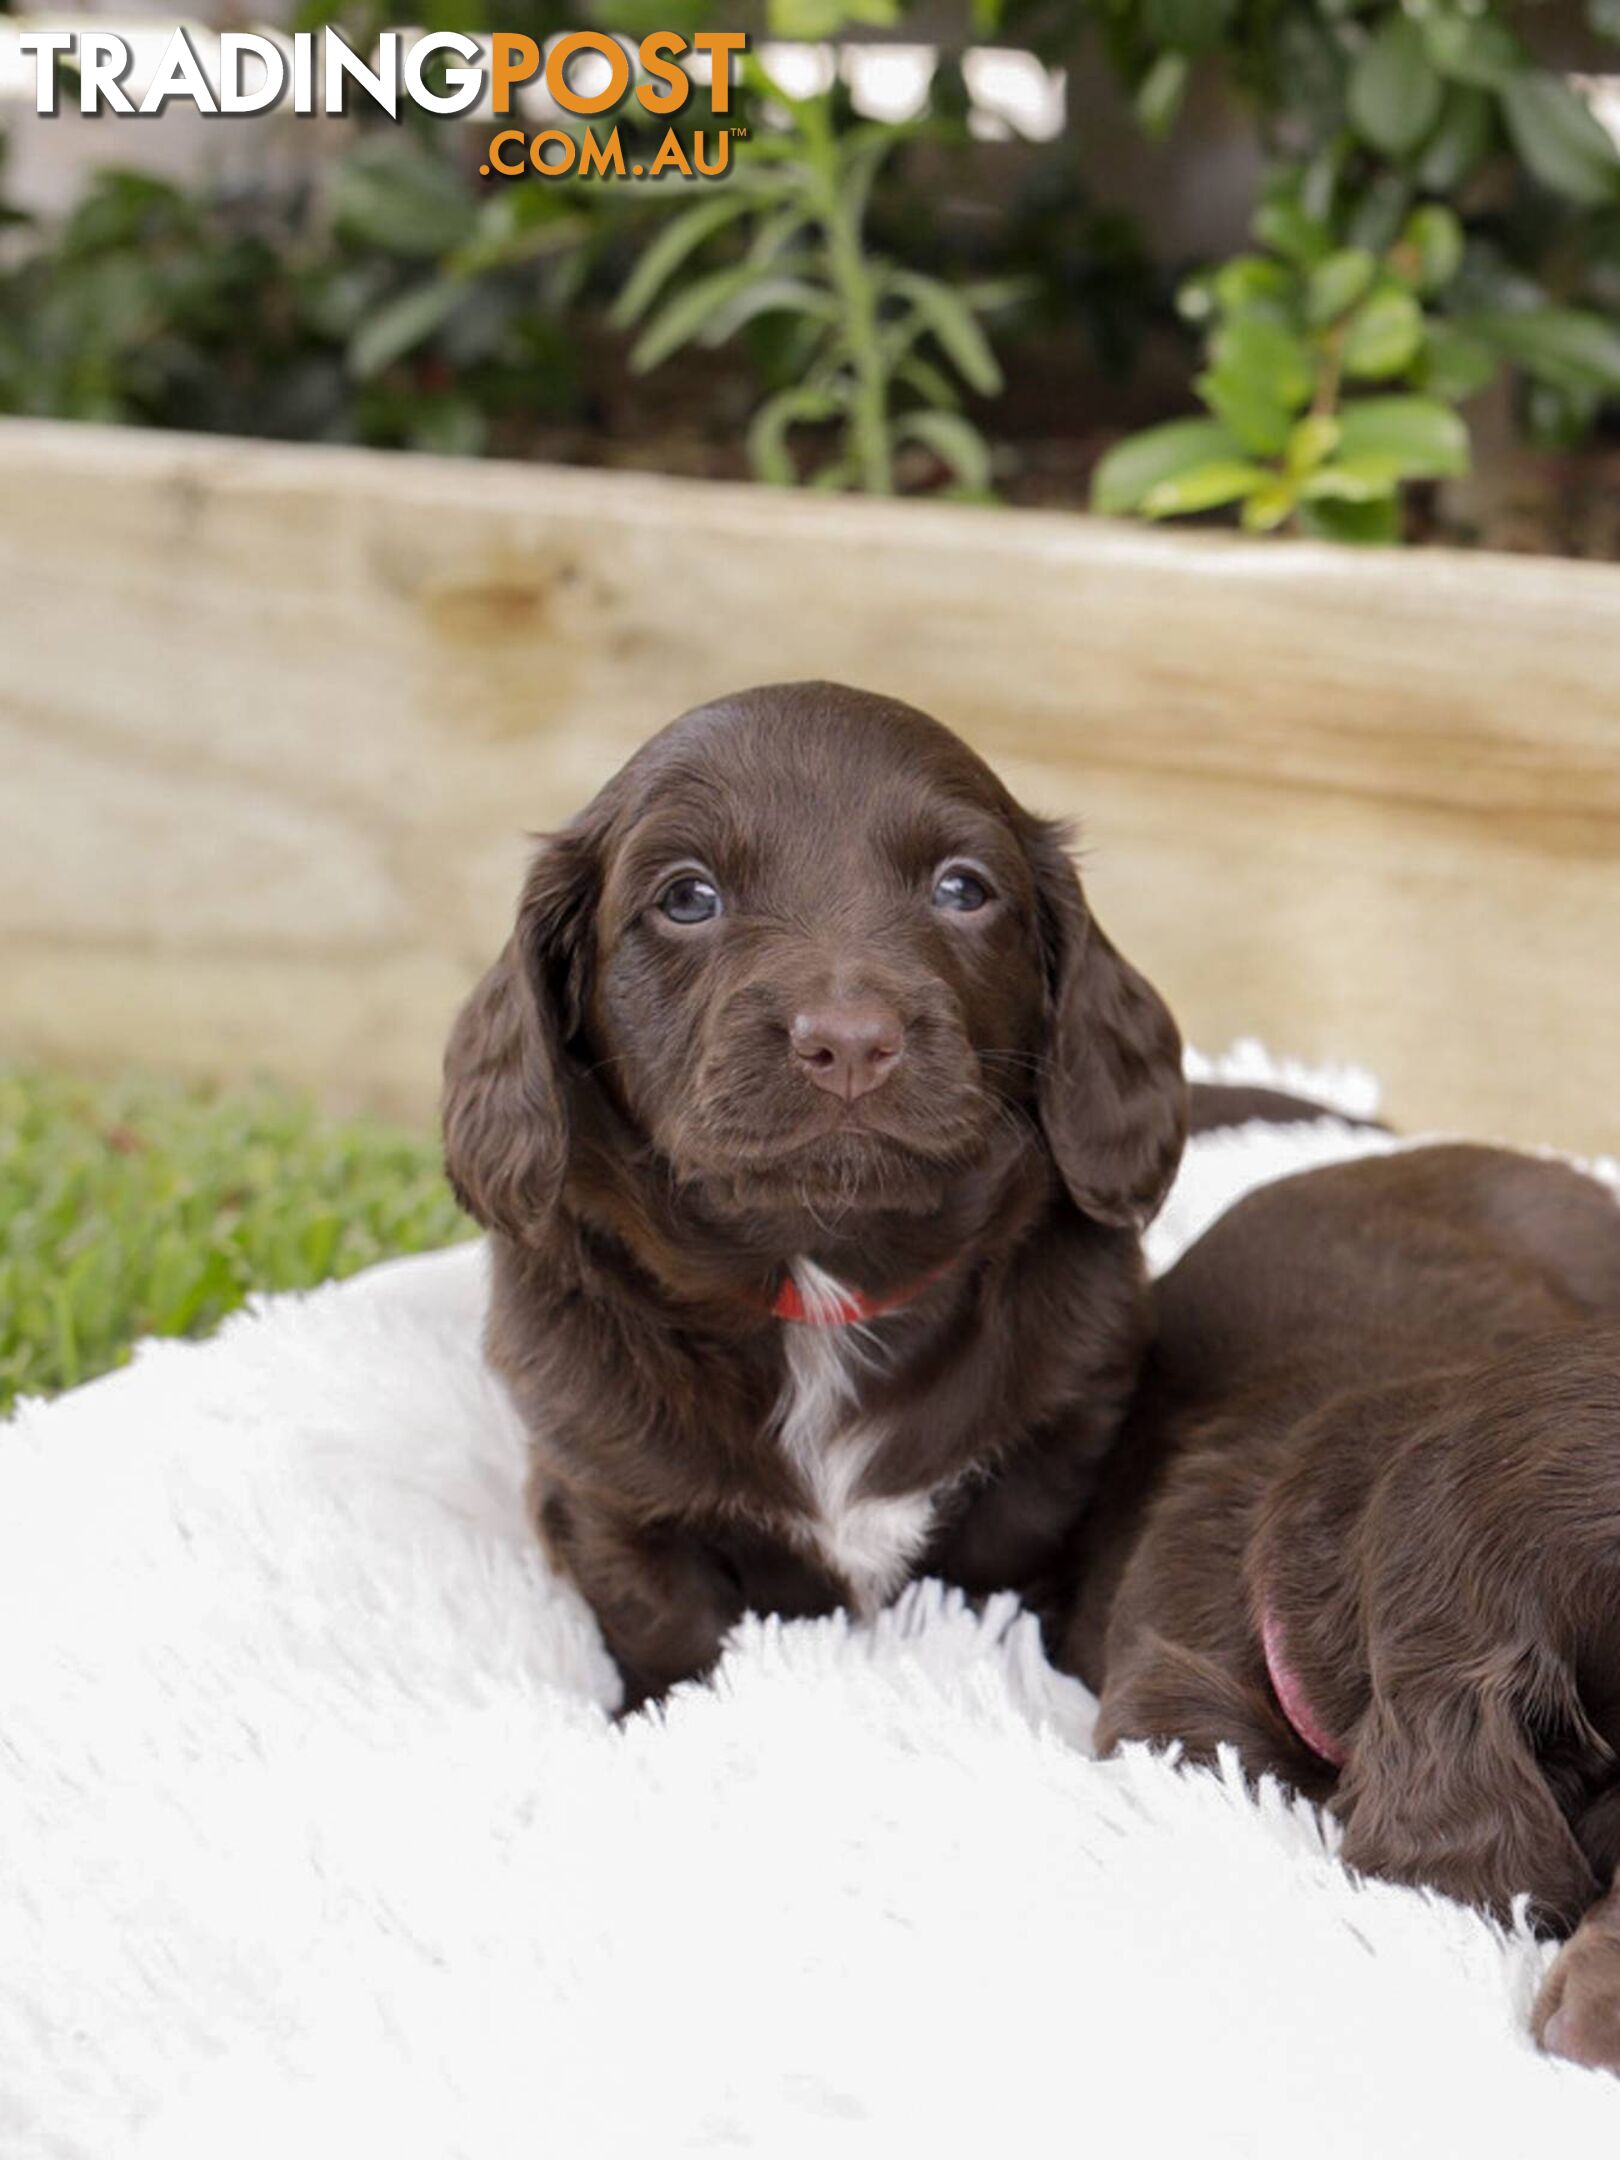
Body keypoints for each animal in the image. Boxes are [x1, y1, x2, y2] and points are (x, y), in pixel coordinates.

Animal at [447, 682, 1192, 1710]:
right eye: (687, 897)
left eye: (963, 888)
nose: (850, 1041)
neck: (823, 1280)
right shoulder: (602, 1486)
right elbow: (664, 1621)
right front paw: (663, 1717)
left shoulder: (1059, 1435)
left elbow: (994, 1572)